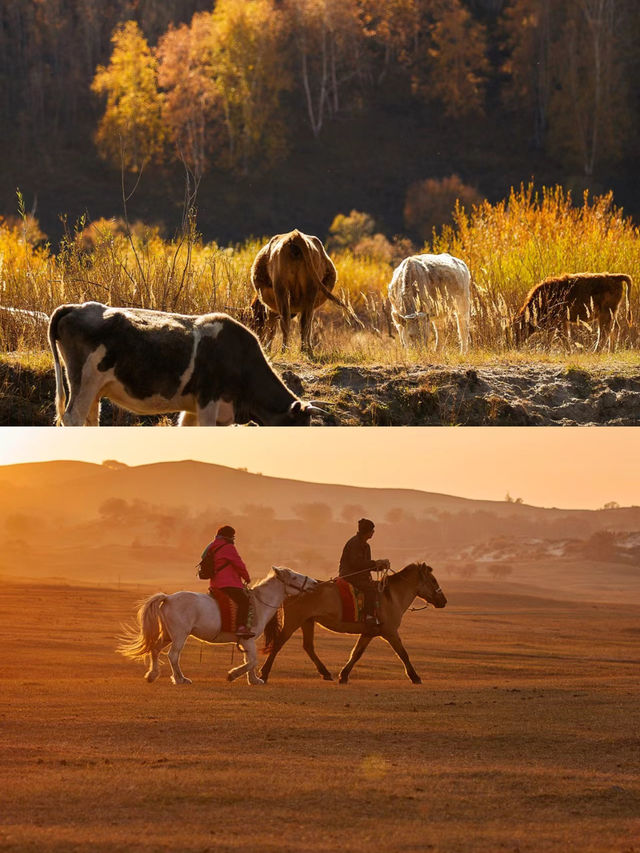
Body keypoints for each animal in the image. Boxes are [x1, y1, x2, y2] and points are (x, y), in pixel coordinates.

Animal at [48, 304, 324, 430]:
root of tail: (77, 306)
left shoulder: (195, 408)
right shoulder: (208, 402)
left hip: (94, 389)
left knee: (89, 419)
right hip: (84, 380)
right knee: (73, 417)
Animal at [117, 564, 318, 684]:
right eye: (294, 577)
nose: (315, 583)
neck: (258, 604)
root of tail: (168, 598)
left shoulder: (245, 642)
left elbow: (250, 660)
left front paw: (253, 680)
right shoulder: (248, 639)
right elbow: (252, 660)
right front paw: (233, 675)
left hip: (167, 635)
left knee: (155, 649)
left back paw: (152, 675)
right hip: (180, 635)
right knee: (173, 656)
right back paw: (181, 679)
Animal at [258, 560, 444, 684]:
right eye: (433, 580)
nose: (444, 601)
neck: (391, 597)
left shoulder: (369, 633)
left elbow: (356, 653)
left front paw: (344, 675)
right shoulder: (390, 632)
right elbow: (403, 653)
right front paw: (415, 677)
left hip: (307, 621)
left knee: (308, 647)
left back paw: (326, 673)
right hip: (294, 621)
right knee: (278, 643)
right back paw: (264, 674)